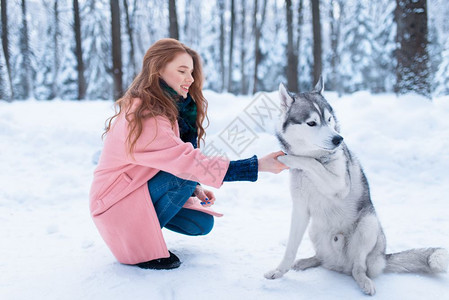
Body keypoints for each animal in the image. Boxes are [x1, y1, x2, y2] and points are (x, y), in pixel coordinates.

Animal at [262, 78, 448, 296]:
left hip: (368, 225)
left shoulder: (338, 184)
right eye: (311, 123)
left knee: (358, 267)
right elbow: (290, 249)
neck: (315, 157)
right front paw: (279, 271)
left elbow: (311, 163)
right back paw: (308, 261)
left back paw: (364, 281)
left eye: (329, 119)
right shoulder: (300, 209)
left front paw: (288, 158)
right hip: (314, 230)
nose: (338, 139)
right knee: (323, 258)